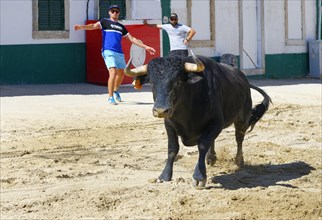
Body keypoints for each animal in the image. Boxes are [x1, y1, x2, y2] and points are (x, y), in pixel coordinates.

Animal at [124, 52, 270, 187]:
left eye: (177, 81)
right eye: (152, 82)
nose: (160, 110)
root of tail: (243, 78)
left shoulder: (216, 123)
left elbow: (203, 145)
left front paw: (199, 177)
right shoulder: (169, 124)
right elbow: (172, 149)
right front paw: (165, 175)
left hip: (242, 118)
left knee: (239, 138)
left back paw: (239, 161)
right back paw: (211, 158)